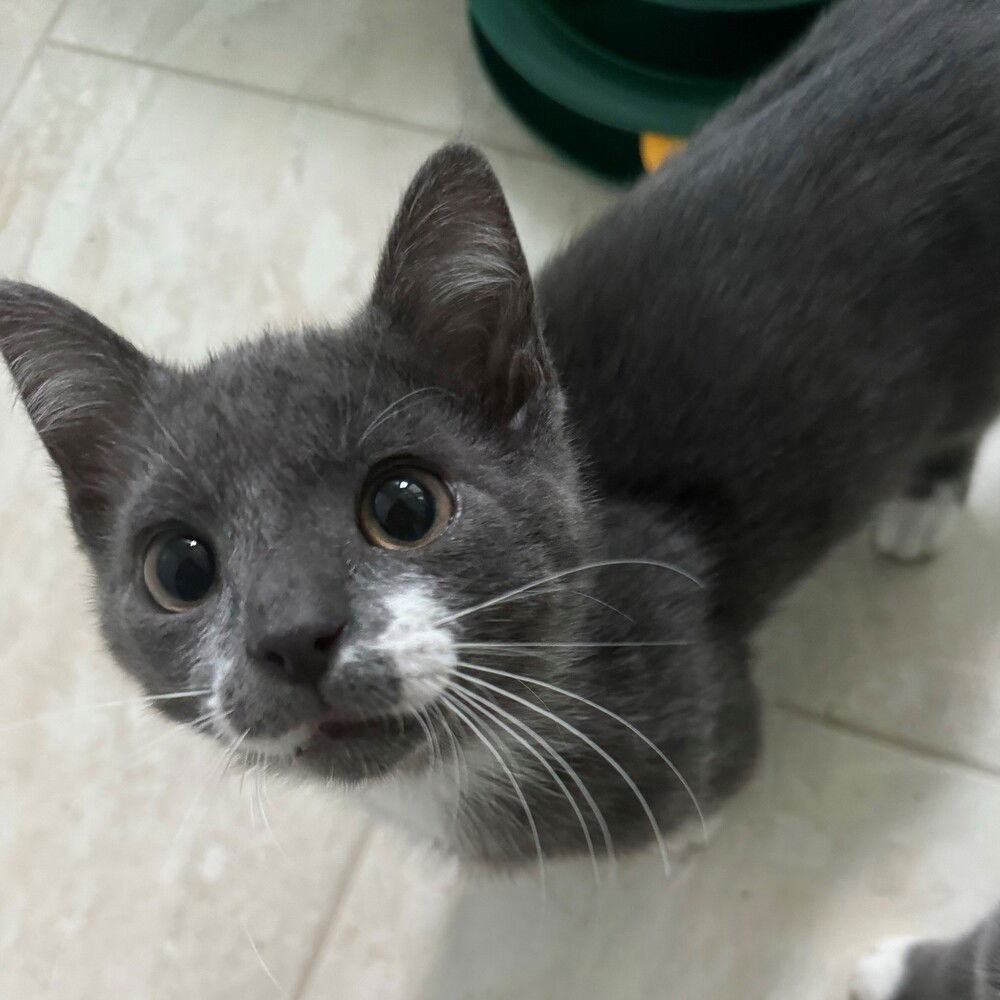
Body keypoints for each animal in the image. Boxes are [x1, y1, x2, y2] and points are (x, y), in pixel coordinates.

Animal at [1, 0, 1000, 872]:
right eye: (180, 569)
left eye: (406, 507)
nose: (291, 635)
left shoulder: (703, 700)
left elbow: (708, 787)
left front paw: (686, 835)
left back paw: (922, 505)